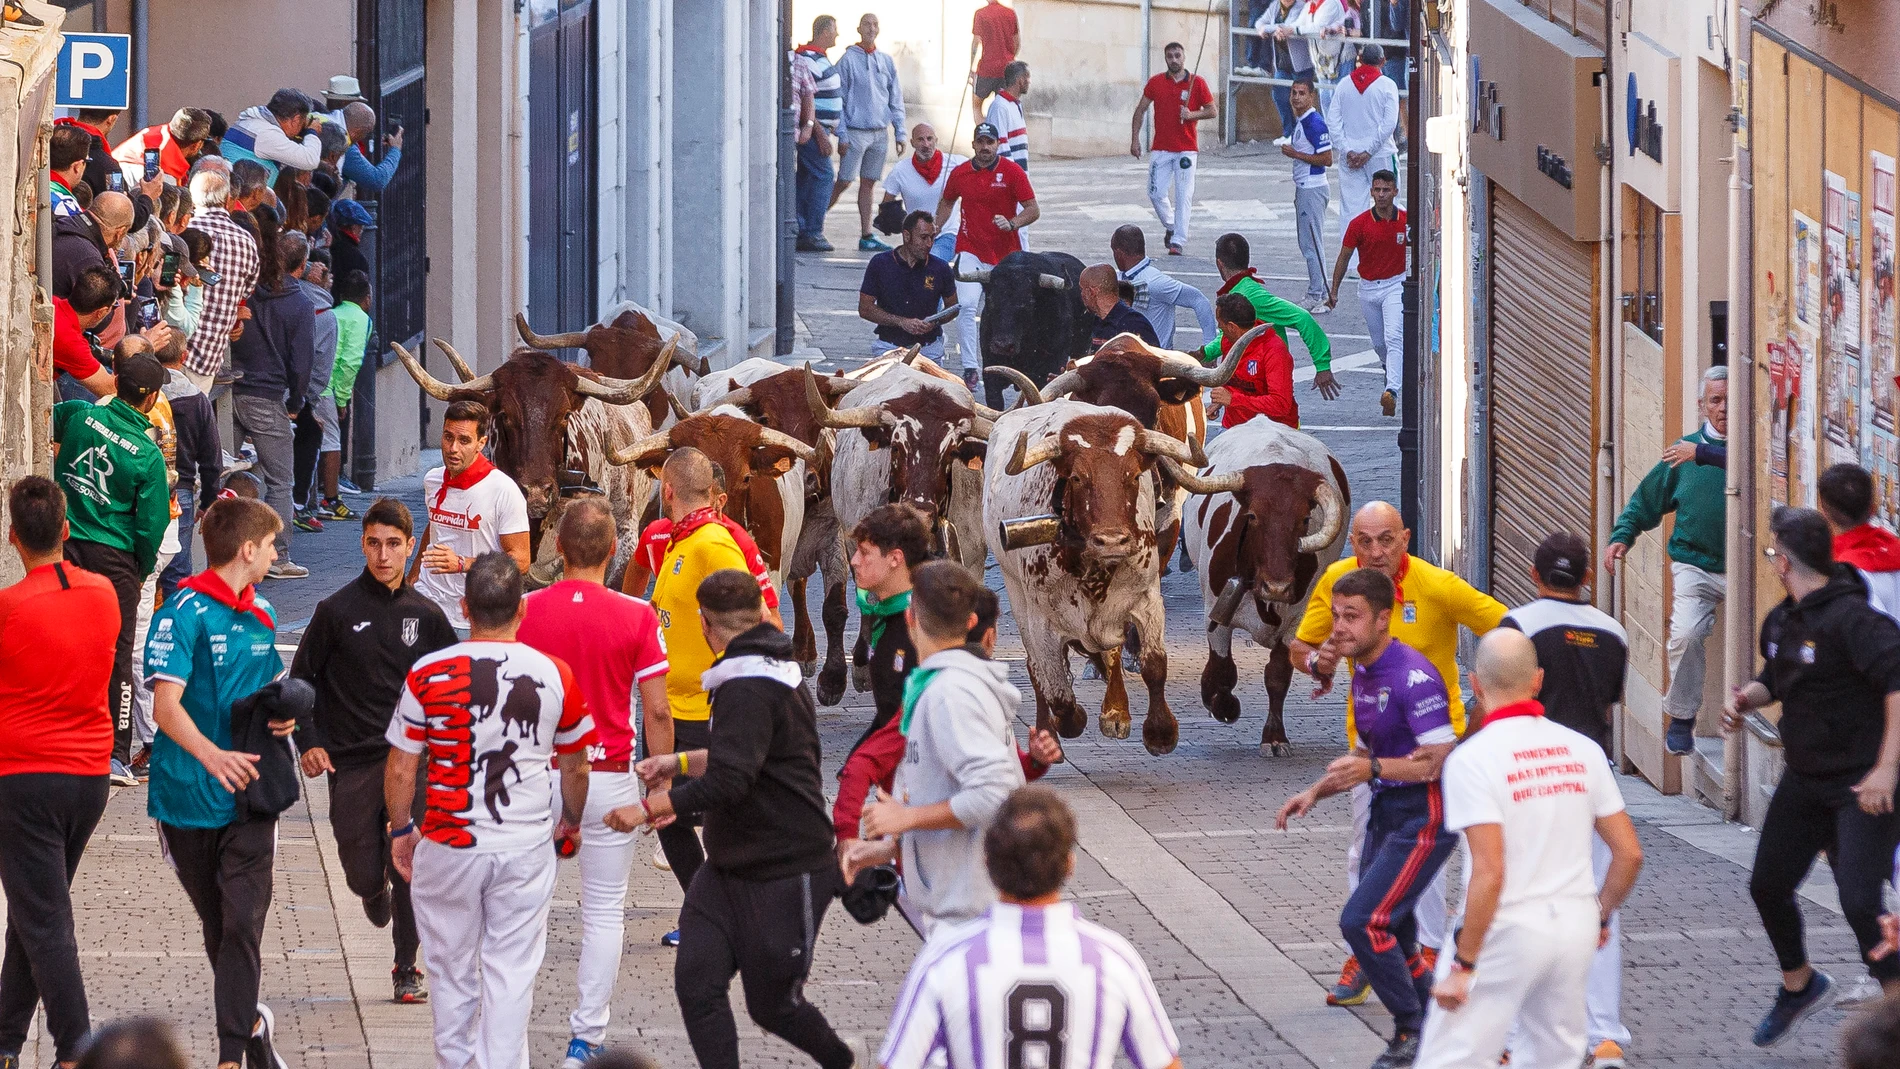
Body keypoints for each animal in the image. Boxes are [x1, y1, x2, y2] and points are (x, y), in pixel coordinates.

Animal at [957, 250, 1094, 410]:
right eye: (990, 299)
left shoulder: (1048, 371)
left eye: (1029, 302)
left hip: (1082, 347)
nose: (1003, 346)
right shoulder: (992, 374)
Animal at [988, 396, 1193, 755]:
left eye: (1133, 476)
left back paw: (1115, 711)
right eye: (1077, 478)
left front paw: (1160, 731)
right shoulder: (1040, 620)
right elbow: (1057, 692)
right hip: (1016, 594)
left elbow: (1154, 664)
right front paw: (1069, 720)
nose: (1111, 540)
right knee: (1037, 671)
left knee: (1108, 653)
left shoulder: (1147, 599)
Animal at [1170, 423, 1352, 755]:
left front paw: (1275, 736)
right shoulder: (1216, 611)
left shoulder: (1296, 621)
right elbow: (1222, 668)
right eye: (1252, 516)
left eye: (1304, 519)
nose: (1277, 586)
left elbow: (1277, 676)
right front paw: (1221, 703)